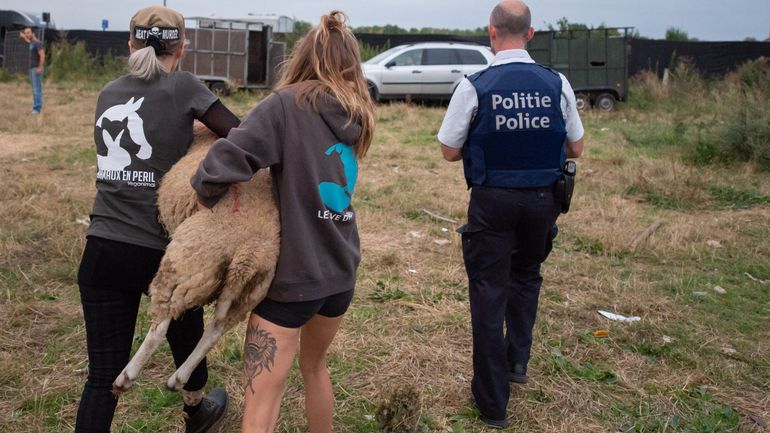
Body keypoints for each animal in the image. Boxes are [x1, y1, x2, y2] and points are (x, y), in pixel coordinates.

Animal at [111, 124, 280, 392]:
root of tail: (248, 255)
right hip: (248, 294)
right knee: (215, 331)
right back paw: (178, 378)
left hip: (186, 265)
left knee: (160, 326)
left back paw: (126, 376)